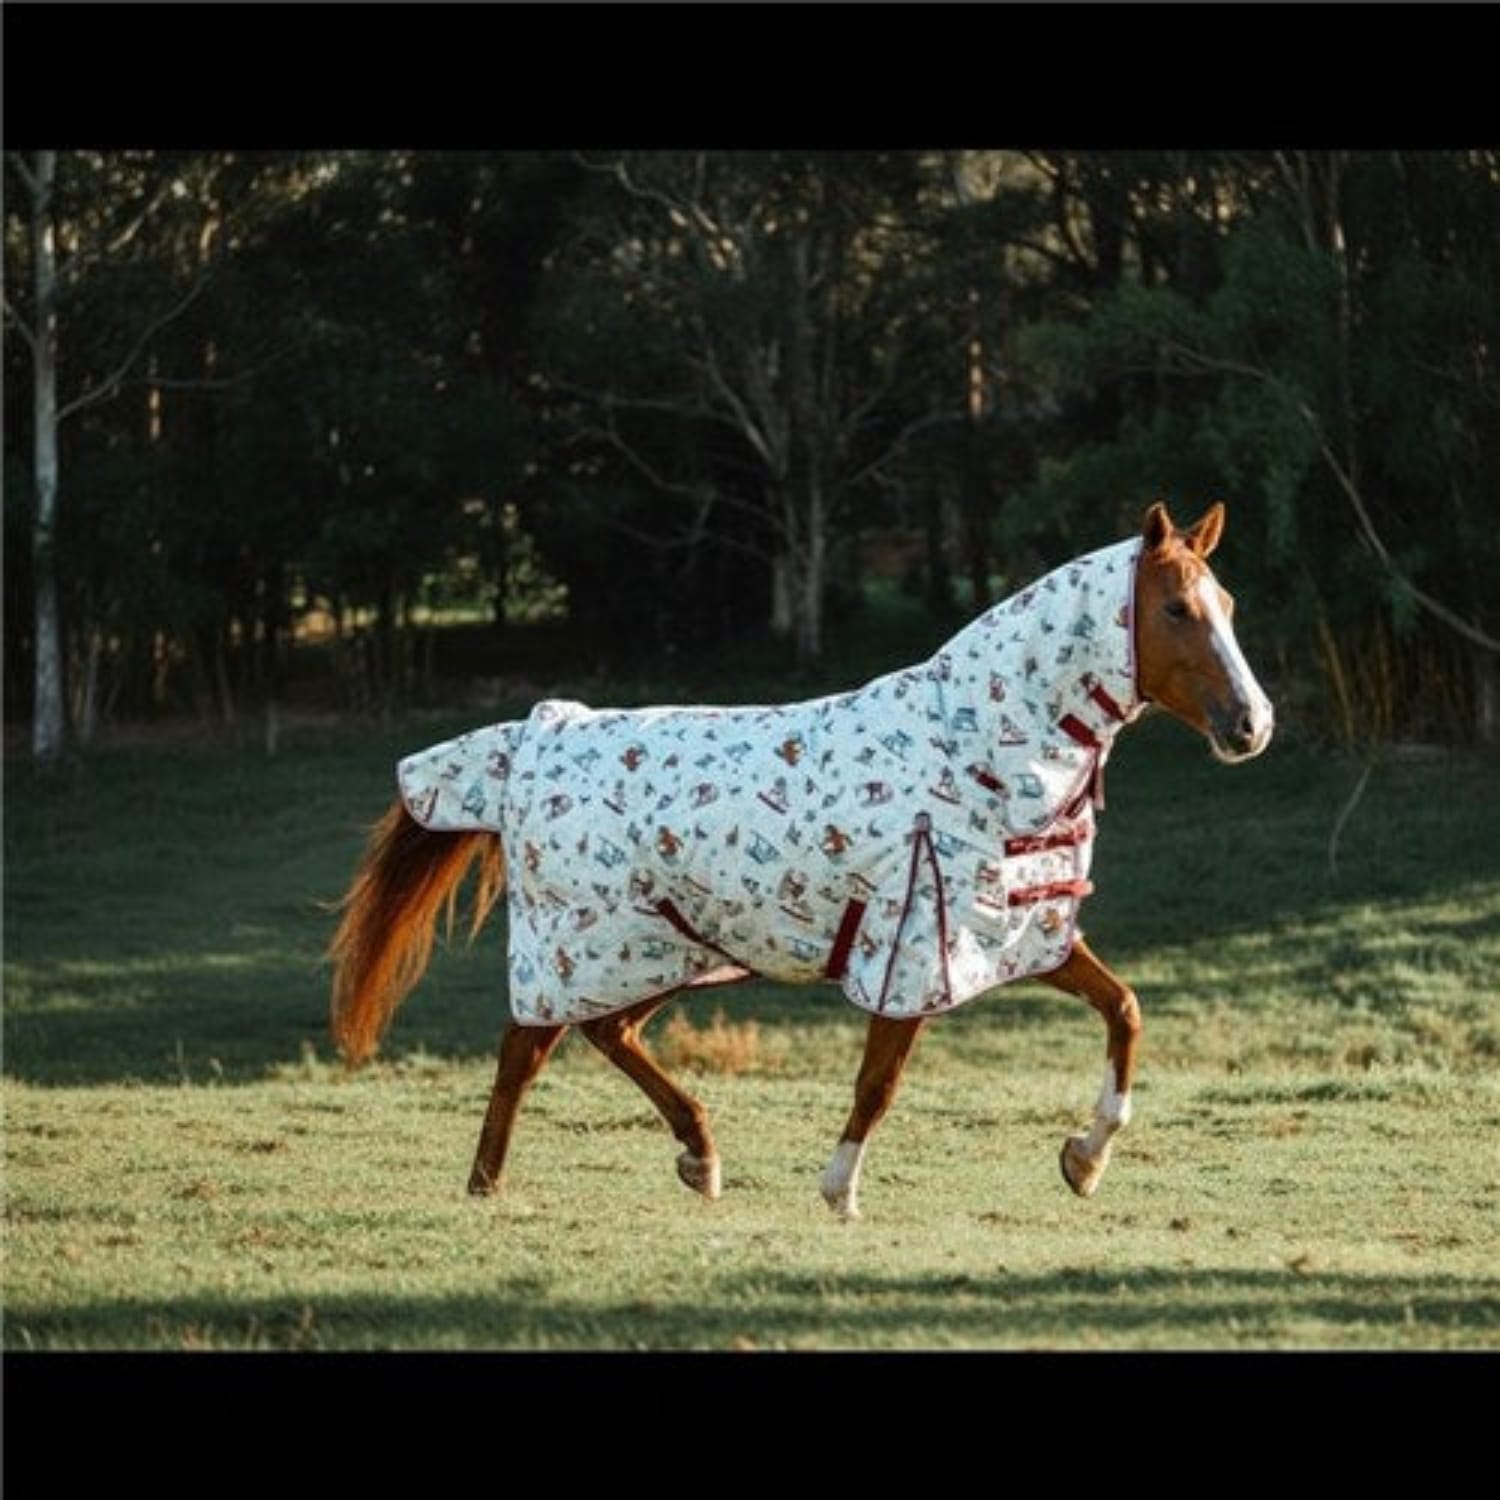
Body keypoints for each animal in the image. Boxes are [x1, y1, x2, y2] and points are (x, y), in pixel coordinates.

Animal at [329, 501, 1273, 1218]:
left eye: (1229, 602)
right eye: (1177, 610)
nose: (1251, 726)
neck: (971, 750)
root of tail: (539, 734)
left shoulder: (1019, 933)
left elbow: (1126, 1010)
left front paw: (1085, 1158)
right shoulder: (909, 946)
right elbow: (878, 1080)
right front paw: (839, 1190)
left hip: (665, 949)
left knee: (602, 1032)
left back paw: (693, 1157)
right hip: (590, 946)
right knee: (526, 1049)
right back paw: (493, 1186)